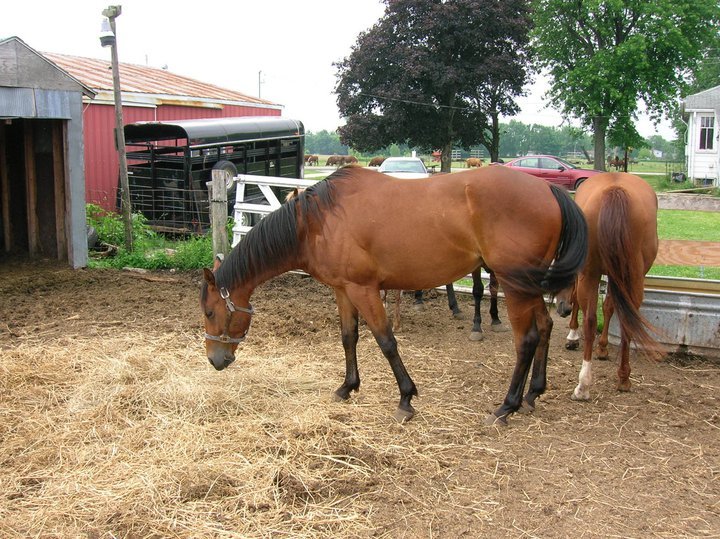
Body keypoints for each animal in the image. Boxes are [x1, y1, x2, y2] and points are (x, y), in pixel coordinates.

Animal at [201, 166, 588, 426]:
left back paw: (507, 406)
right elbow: (349, 337)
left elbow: (386, 341)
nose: (215, 361)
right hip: (528, 286)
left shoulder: (364, 289)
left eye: (209, 312)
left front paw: (405, 398)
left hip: (514, 284)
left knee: (527, 339)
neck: (317, 222)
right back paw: (533, 394)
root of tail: (547, 191)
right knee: (545, 328)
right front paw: (347, 387)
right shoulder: (343, 290)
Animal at [555, 172, 660, 401]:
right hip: (632, 276)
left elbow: (597, 306)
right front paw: (602, 348)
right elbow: (610, 307)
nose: (561, 308)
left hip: (595, 274)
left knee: (591, 320)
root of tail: (614, 191)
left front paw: (574, 337)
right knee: (623, 320)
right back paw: (622, 378)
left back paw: (583, 385)